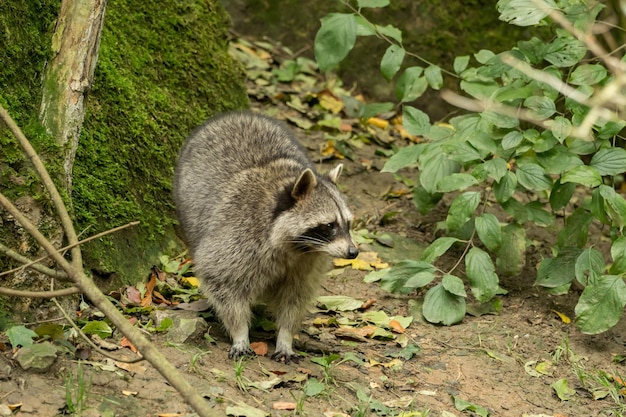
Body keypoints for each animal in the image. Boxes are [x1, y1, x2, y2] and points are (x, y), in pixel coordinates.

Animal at [172, 110, 356, 360]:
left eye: (348, 223)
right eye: (329, 225)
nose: (353, 252)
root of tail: (236, 115)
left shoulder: (308, 263)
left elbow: (295, 298)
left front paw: (285, 336)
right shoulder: (237, 238)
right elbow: (222, 283)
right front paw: (240, 332)